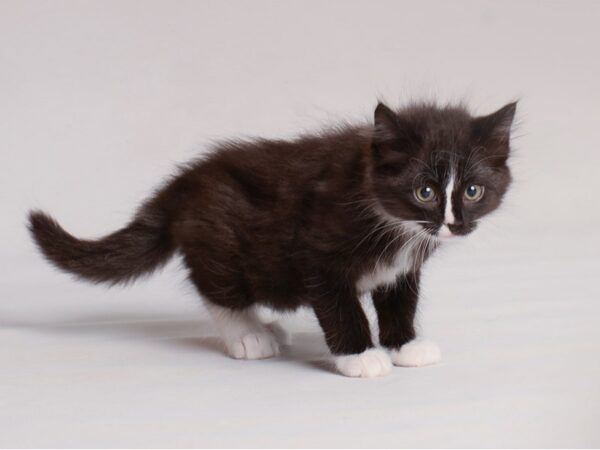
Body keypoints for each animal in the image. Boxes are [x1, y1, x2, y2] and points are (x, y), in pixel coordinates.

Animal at [28, 101, 516, 376]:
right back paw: (249, 334)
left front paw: (405, 346)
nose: (452, 224)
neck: (391, 222)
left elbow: (400, 303)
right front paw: (360, 356)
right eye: (425, 192)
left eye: (472, 191)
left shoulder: (402, 270)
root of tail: (186, 181)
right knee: (218, 288)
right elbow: (342, 309)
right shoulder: (318, 253)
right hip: (222, 241)